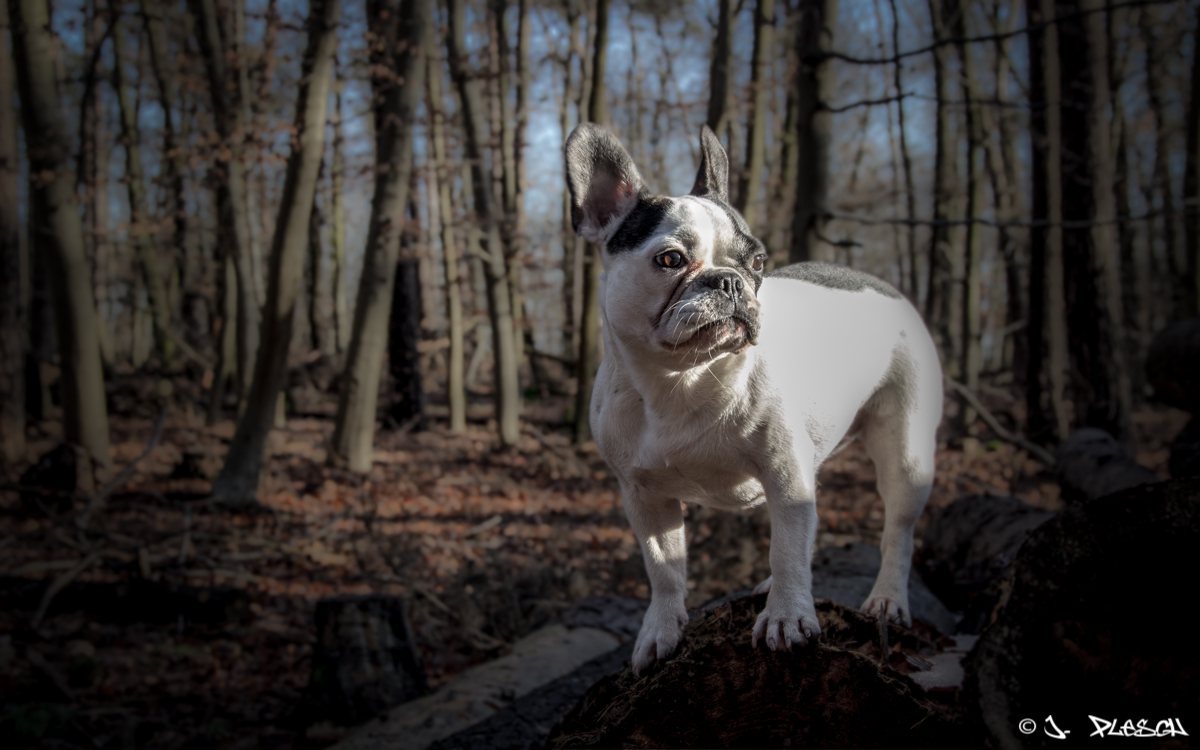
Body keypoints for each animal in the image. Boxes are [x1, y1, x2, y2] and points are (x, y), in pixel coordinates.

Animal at [566, 123, 940, 672]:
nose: (730, 281)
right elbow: (664, 566)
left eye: (758, 261)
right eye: (670, 259)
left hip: (906, 450)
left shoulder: (784, 472)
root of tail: (885, 287)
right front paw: (660, 630)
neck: (681, 379)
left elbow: (785, 548)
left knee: (897, 528)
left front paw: (786, 616)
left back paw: (887, 599)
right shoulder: (644, 496)